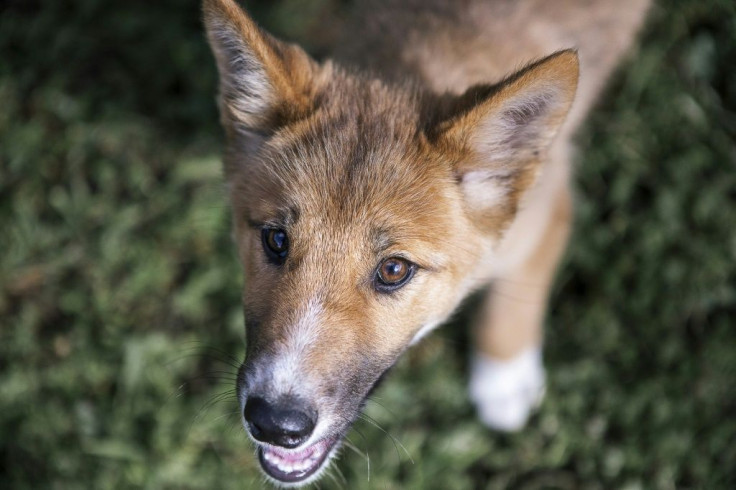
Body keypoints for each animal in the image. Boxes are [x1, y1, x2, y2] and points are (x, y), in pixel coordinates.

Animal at [201, 0, 648, 482]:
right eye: (277, 240)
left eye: (394, 269)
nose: (274, 424)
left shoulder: (549, 214)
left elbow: (514, 302)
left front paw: (504, 378)